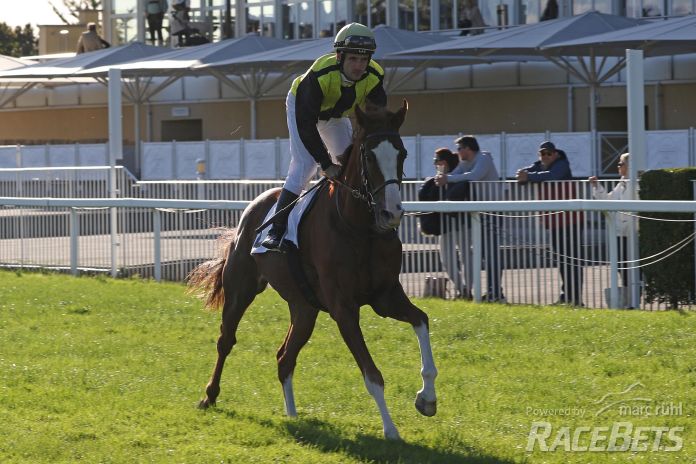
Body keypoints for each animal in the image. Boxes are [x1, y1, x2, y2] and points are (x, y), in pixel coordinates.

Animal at [187, 100, 437, 440]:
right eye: (369, 156)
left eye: (402, 153)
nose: (392, 213)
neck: (359, 227)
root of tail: (252, 209)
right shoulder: (344, 308)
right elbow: (372, 374)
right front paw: (390, 430)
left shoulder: (385, 296)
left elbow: (422, 321)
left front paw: (427, 398)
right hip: (241, 288)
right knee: (226, 340)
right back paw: (209, 396)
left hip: (304, 307)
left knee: (284, 357)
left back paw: (292, 415)